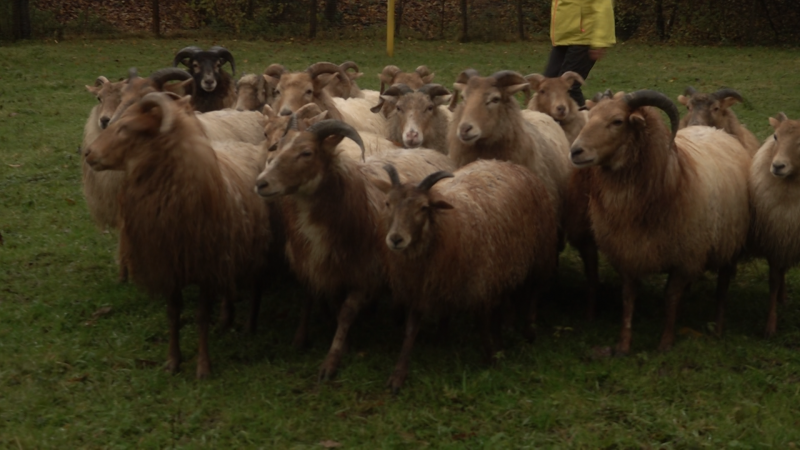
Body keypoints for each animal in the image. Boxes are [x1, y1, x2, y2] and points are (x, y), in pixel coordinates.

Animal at [83, 92, 272, 380]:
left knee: (257, 285)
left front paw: (203, 367)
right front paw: (173, 361)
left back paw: (249, 325)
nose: (88, 153)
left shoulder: (206, 268)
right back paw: (226, 318)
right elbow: (173, 315)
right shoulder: (168, 265)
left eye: (125, 127)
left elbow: (201, 316)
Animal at [256, 118, 456, 380]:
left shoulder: (367, 272)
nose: (260, 183)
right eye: (277, 147)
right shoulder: (320, 264)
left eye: (307, 153)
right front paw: (324, 342)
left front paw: (332, 361)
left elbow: (346, 312)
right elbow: (323, 301)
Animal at [380, 160, 556, 392]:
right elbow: (410, 330)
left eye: (423, 208)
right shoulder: (422, 285)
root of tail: (512, 164)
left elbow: (482, 324)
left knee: (535, 290)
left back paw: (529, 330)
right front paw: (398, 375)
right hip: (505, 262)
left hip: (541, 251)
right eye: (388, 203)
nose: (395, 239)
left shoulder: (478, 282)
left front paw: (492, 359)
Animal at [572, 89, 752, 356]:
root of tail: (714, 130)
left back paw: (718, 327)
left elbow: (670, 298)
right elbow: (628, 298)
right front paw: (623, 344)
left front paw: (666, 342)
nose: (575, 151)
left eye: (617, 121)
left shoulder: (684, 257)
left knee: (722, 289)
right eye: (590, 115)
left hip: (729, 243)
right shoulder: (628, 252)